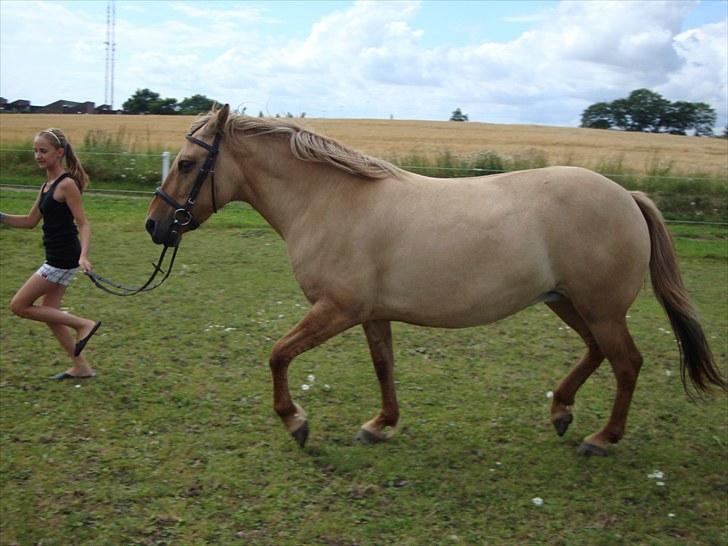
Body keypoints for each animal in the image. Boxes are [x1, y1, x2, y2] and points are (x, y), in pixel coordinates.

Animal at [145, 104, 724, 452]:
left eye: (188, 162)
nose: (155, 225)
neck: (332, 200)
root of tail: (627, 195)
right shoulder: (371, 314)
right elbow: (384, 367)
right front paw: (380, 424)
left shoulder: (337, 309)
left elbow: (279, 354)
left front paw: (296, 421)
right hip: (567, 302)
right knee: (599, 353)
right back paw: (561, 410)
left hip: (600, 309)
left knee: (627, 363)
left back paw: (603, 437)